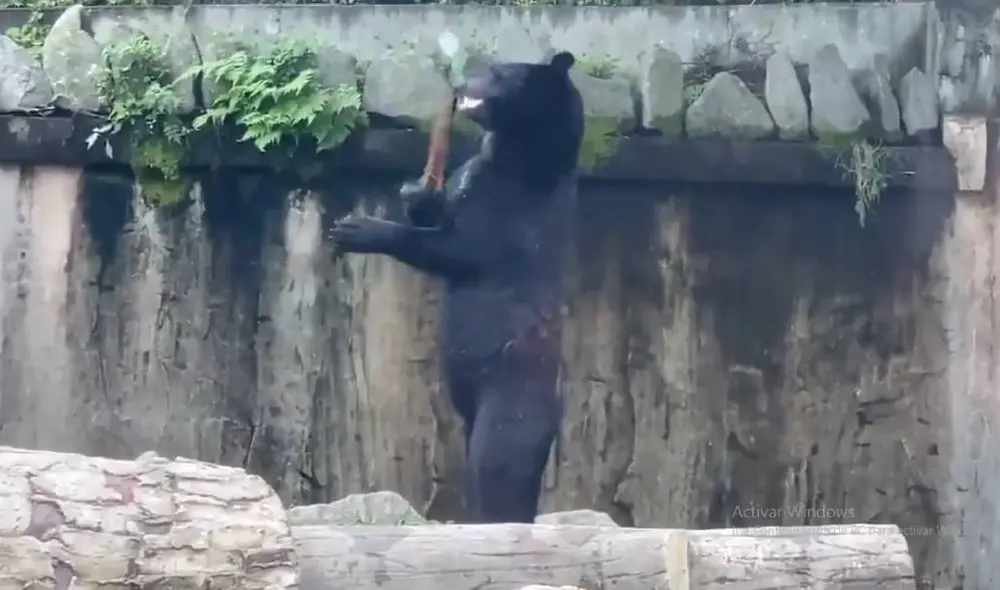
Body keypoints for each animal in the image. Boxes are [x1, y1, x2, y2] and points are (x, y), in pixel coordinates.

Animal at [329, 50, 583, 523]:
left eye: (501, 72)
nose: (464, 81)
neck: (522, 158)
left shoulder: (510, 214)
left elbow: (457, 250)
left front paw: (355, 228)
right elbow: (439, 211)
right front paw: (418, 193)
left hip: (508, 399)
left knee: (496, 464)